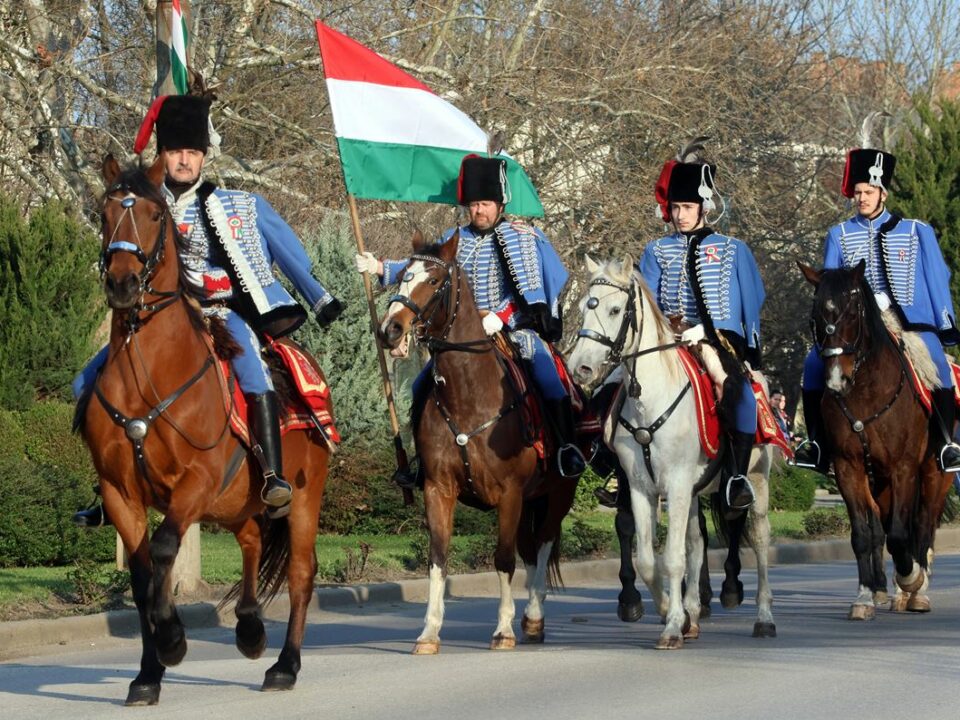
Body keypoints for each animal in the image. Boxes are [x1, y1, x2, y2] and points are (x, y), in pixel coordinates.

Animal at [85, 156, 334, 704]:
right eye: (105, 211)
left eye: (155, 214)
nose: (123, 283)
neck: (147, 378)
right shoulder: (119, 493)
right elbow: (141, 575)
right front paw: (147, 674)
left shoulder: (195, 483)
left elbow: (161, 551)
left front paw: (173, 640)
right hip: (236, 501)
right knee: (252, 541)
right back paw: (249, 627)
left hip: (302, 497)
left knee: (301, 574)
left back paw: (285, 665)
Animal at [568, 258, 776, 648]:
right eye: (584, 308)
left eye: (615, 310)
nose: (581, 368)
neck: (649, 399)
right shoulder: (641, 487)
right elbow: (650, 560)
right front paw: (671, 611)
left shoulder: (677, 484)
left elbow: (673, 558)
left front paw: (671, 625)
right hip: (692, 493)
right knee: (696, 543)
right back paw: (693, 613)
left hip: (755, 479)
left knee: (758, 539)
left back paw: (764, 617)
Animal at [804, 262, 952, 620]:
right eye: (816, 315)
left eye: (853, 312)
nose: (835, 379)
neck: (865, 391)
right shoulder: (849, 467)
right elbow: (863, 532)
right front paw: (865, 597)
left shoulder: (904, 468)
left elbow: (901, 534)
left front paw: (910, 578)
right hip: (880, 480)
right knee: (885, 525)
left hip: (935, 475)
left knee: (923, 525)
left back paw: (916, 592)